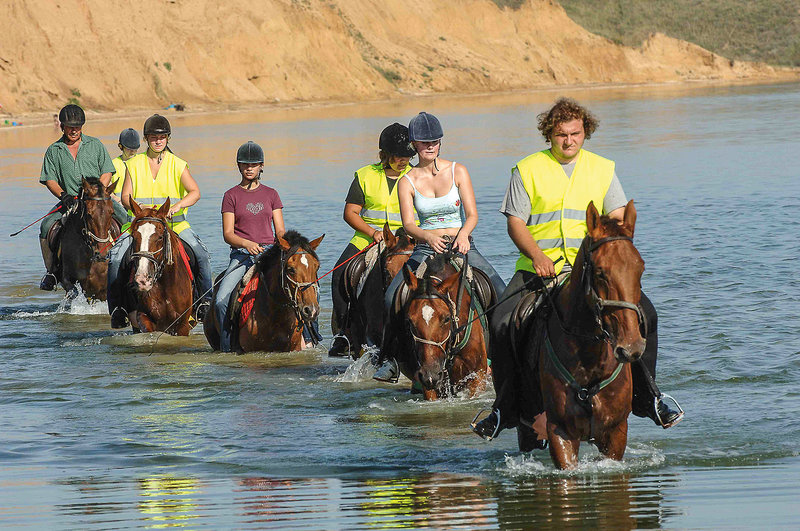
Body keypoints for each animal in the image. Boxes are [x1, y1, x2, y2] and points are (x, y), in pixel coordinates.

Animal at [126, 199, 194, 335]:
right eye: (133, 236)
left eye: (160, 237)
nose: (143, 280)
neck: (166, 285)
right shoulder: (144, 317)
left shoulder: (182, 325)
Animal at [521, 200, 645, 469]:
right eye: (600, 272)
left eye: (640, 269)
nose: (631, 348)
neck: (590, 357)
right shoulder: (560, 430)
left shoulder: (616, 432)